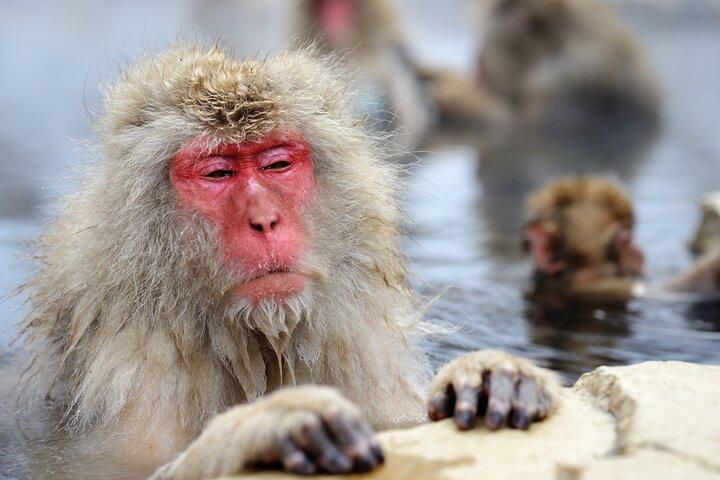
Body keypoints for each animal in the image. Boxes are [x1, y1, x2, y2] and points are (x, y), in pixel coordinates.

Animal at [16, 44, 559, 479]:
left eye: (277, 163)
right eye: (218, 173)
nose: (265, 220)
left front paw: (490, 375)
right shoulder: (139, 359)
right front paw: (270, 422)